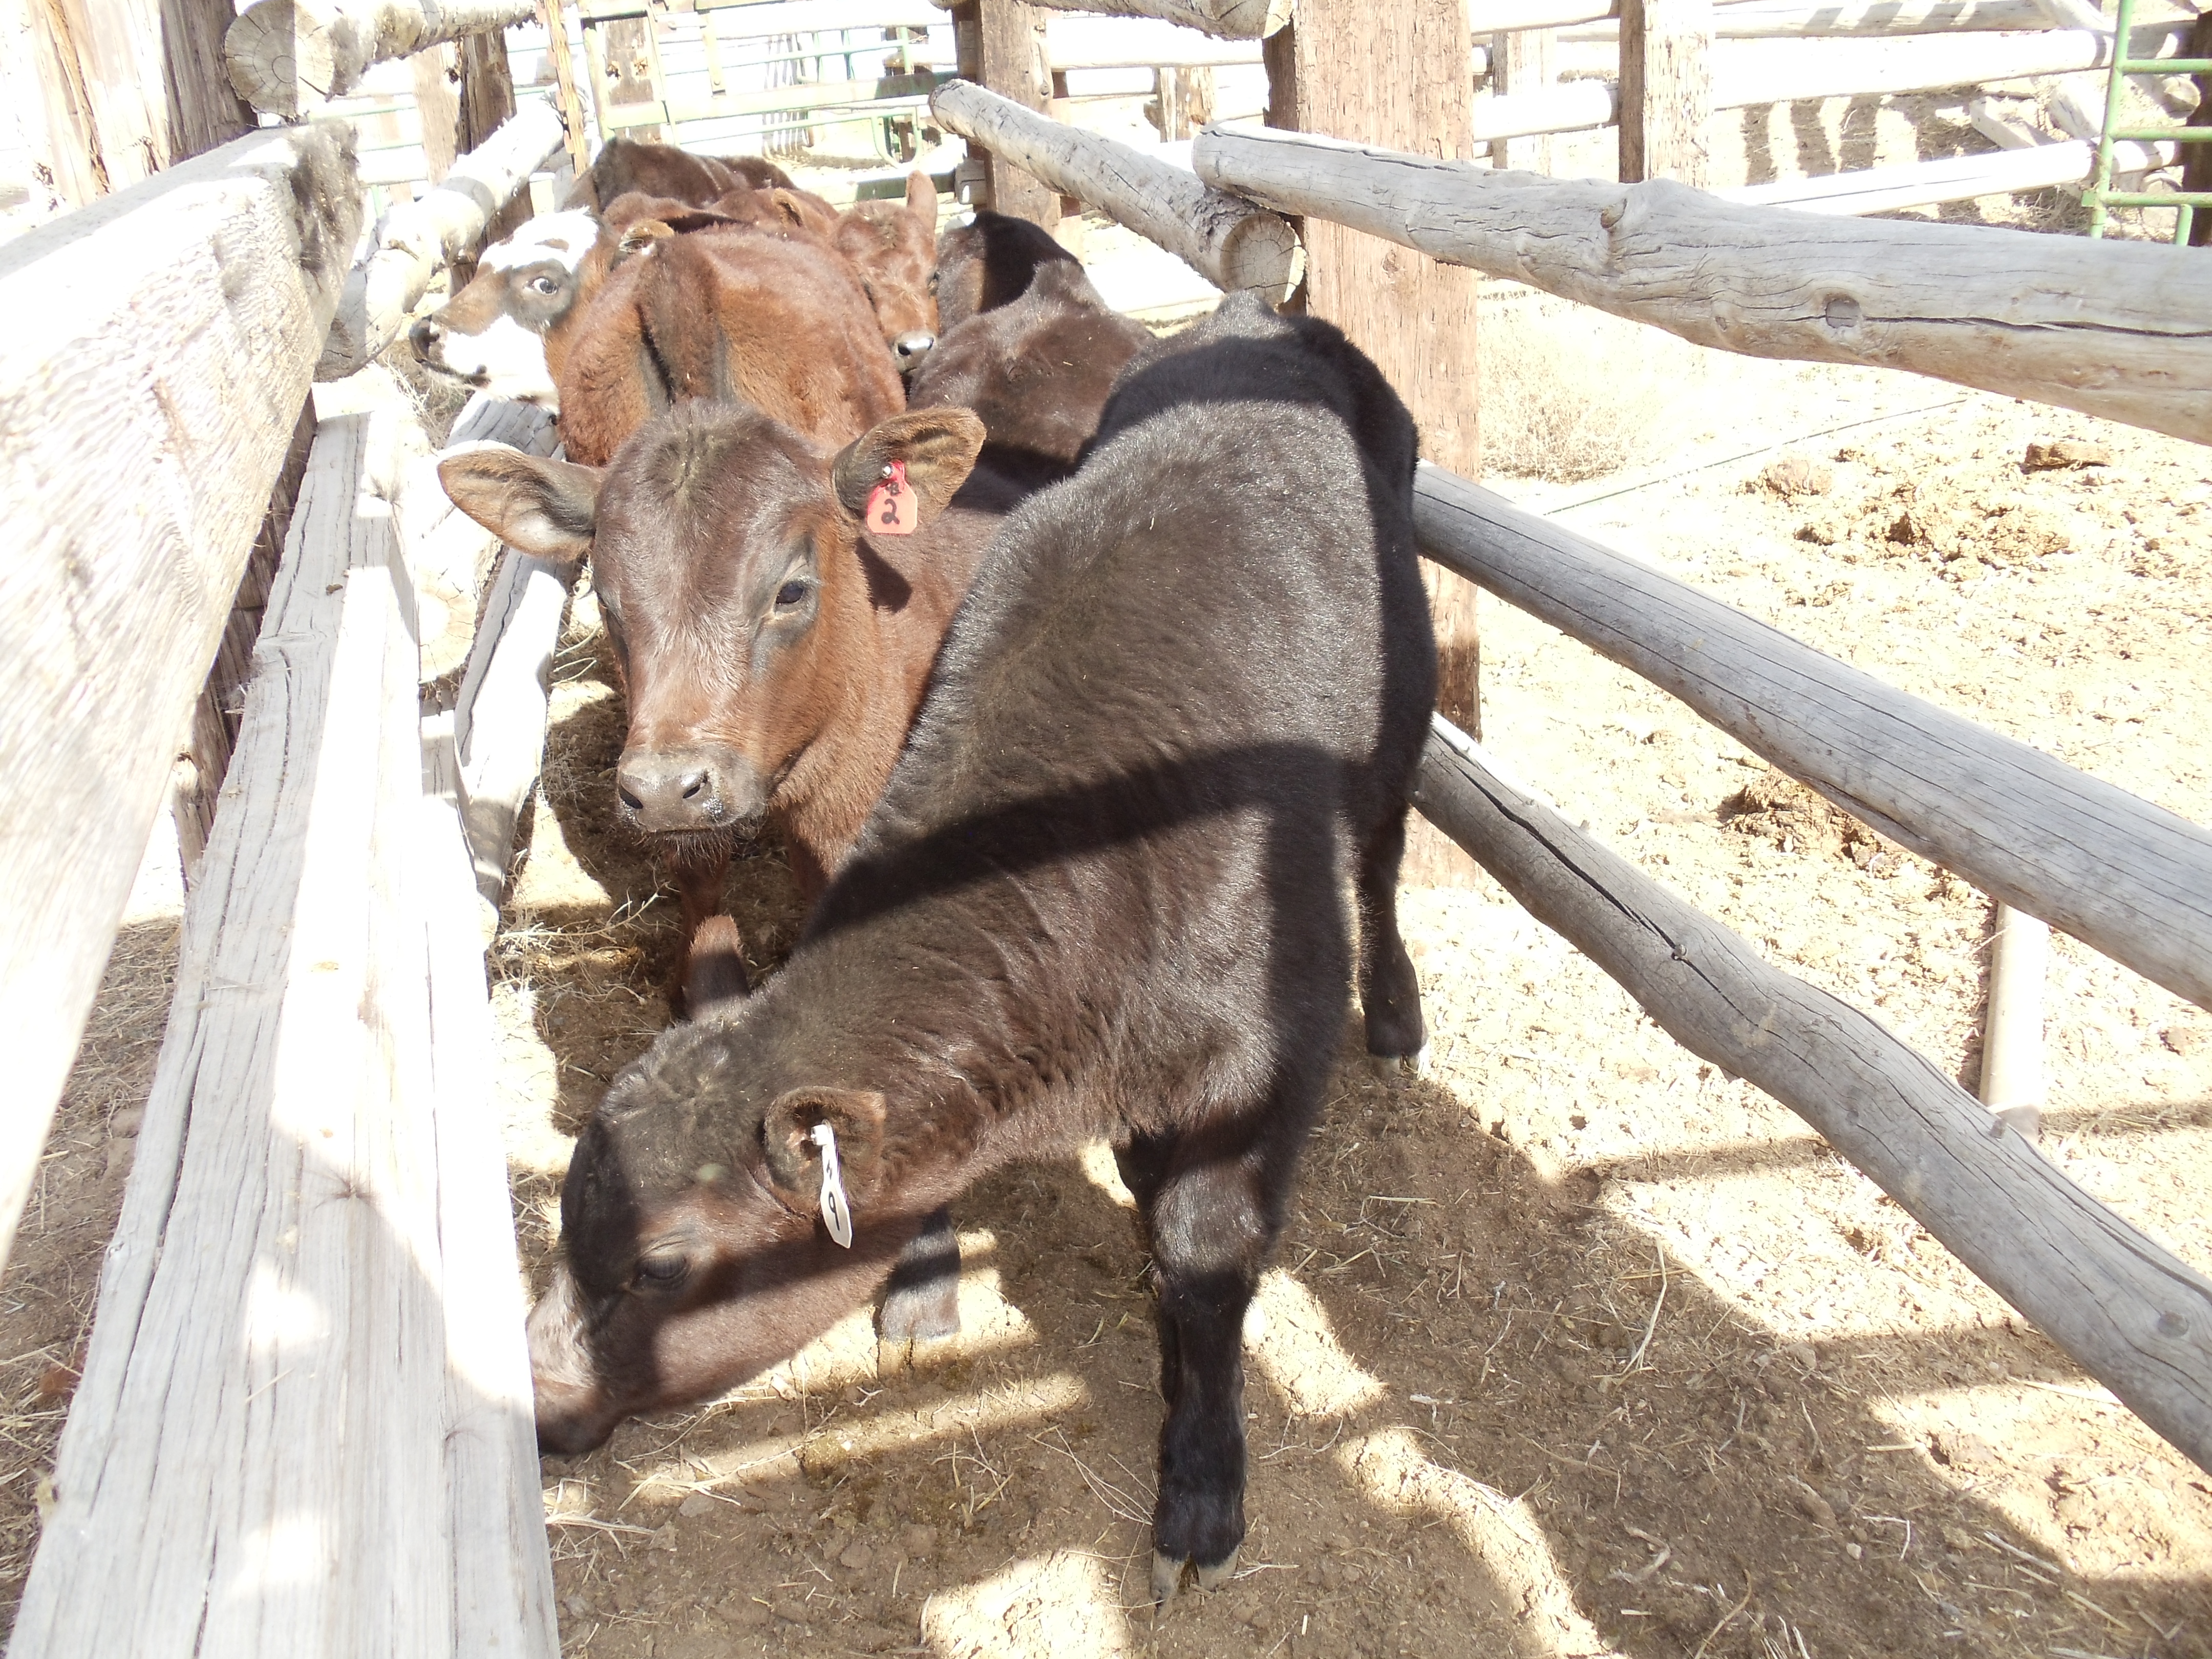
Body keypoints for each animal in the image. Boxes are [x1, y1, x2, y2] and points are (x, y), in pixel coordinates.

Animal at [516, 294, 1437, 1606]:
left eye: (658, 1266)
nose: (537, 1400)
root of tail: (1262, 313)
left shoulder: (1274, 1053)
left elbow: (1204, 1253)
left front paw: (1201, 1481)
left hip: (1404, 707)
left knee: (1391, 843)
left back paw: (1399, 1011)